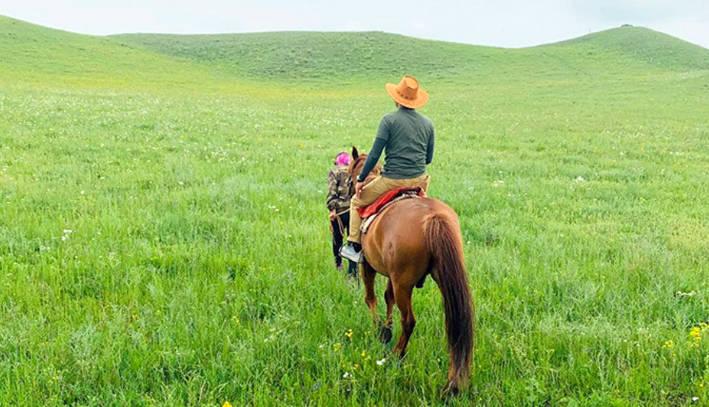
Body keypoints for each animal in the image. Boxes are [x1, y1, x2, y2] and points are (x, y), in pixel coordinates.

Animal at [346, 147, 472, 396]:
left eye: (349, 173)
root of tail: (434, 218)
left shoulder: (369, 266)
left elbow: (371, 298)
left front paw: (379, 330)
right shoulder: (391, 275)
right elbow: (388, 298)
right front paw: (386, 329)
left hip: (404, 283)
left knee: (409, 321)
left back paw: (397, 355)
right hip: (441, 279)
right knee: (455, 325)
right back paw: (452, 384)